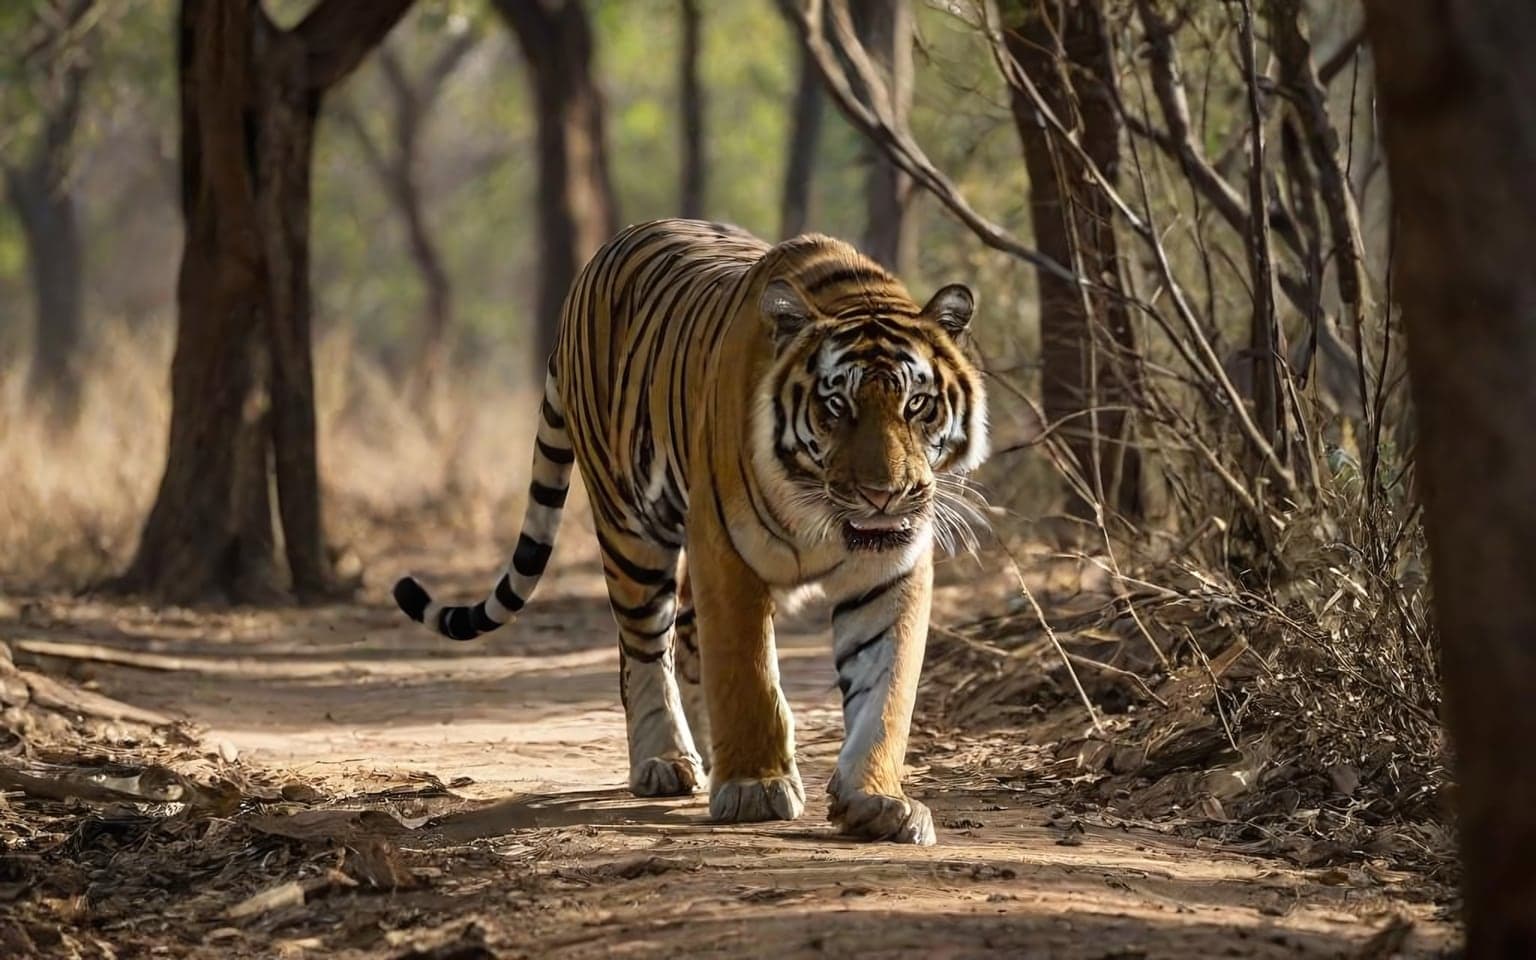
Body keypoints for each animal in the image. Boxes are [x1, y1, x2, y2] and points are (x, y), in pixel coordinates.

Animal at [394, 218, 987, 845]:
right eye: (836, 405)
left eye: (917, 403)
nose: (883, 495)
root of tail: (591, 271)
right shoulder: (727, 550)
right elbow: (748, 672)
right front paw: (755, 788)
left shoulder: (891, 567)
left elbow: (886, 689)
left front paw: (876, 800)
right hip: (631, 530)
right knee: (645, 650)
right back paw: (665, 761)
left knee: (687, 637)